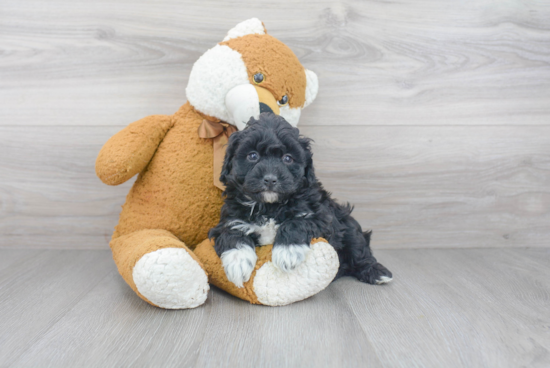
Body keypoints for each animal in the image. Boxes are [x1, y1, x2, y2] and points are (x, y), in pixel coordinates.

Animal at [209, 113, 394, 288]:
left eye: (288, 158)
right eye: (252, 156)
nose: (270, 179)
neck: (270, 207)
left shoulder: (322, 218)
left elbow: (296, 223)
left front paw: (287, 252)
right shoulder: (230, 220)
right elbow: (232, 234)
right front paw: (238, 262)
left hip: (347, 223)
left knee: (359, 248)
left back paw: (377, 272)